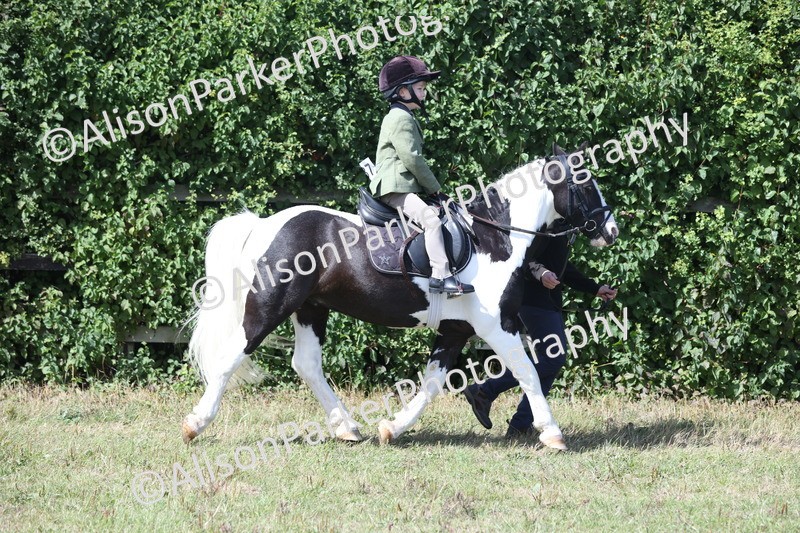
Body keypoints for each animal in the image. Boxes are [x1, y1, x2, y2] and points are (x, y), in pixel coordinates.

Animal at [182, 143, 619, 450]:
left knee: (306, 364)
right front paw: (552, 433)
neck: (493, 238)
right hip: (270, 306)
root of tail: (264, 224)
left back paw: (347, 428)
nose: (610, 230)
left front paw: (392, 427)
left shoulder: (455, 330)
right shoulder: (498, 325)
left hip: (311, 309)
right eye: (584, 183)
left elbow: (433, 383)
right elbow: (527, 371)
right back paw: (195, 424)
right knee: (230, 357)